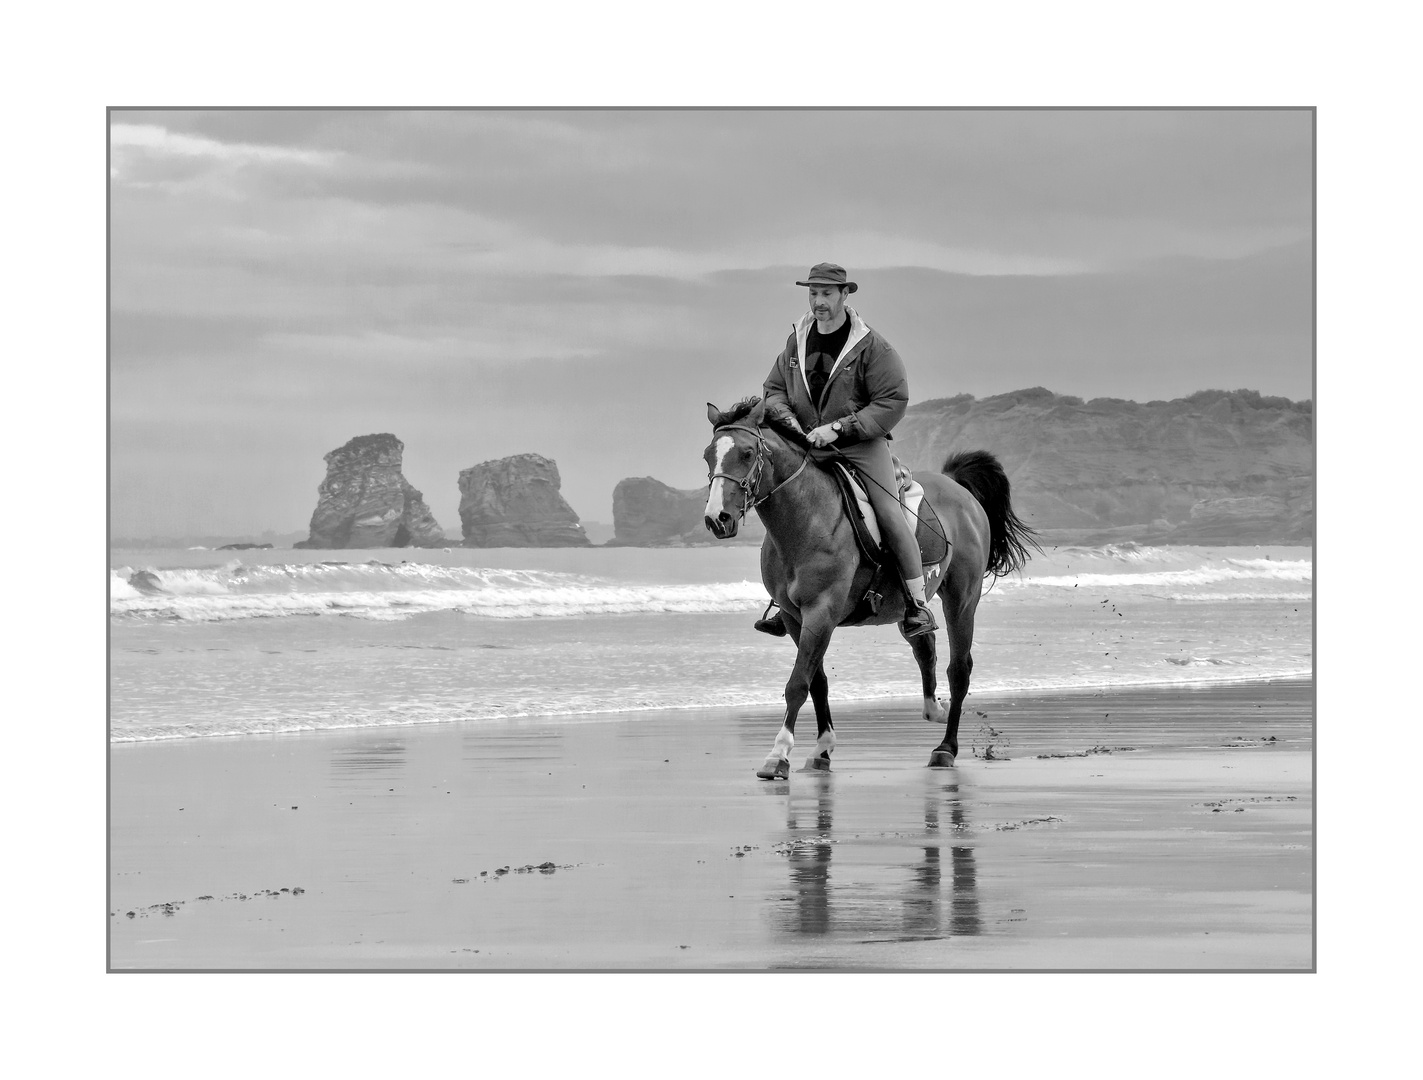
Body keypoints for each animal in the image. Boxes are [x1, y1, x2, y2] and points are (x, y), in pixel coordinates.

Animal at [705, 398, 1041, 779]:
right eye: (708, 456)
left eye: (747, 453)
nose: (717, 519)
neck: (806, 518)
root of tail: (958, 488)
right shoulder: (794, 618)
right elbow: (817, 681)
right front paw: (822, 749)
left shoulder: (821, 612)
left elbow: (798, 683)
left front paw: (778, 755)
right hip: (906, 606)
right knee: (924, 644)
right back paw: (933, 708)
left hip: (962, 600)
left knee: (959, 669)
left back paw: (945, 748)